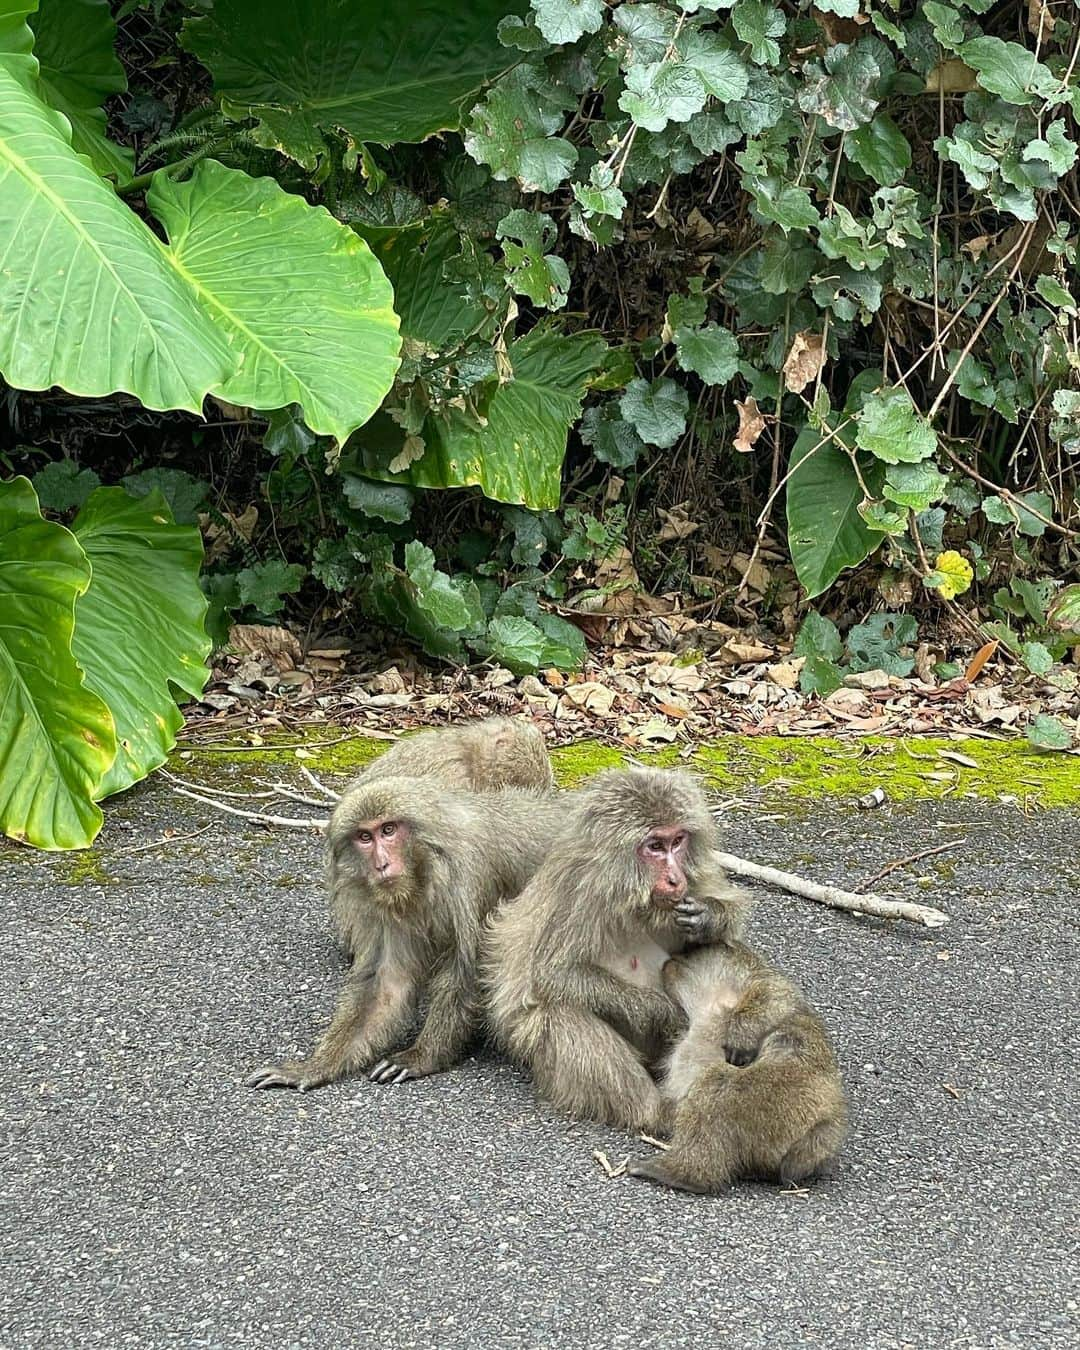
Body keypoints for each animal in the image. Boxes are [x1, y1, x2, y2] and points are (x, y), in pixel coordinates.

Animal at [244, 777, 564, 1090]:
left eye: (388, 830)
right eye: (365, 837)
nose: (382, 864)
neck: (425, 866)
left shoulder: (471, 878)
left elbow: (468, 971)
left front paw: (423, 1057)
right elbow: (388, 981)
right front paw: (313, 1067)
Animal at [483, 766, 750, 1134]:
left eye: (677, 841)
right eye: (655, 846)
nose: (675, 878)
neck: (632, 896)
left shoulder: (693, 882)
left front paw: (711, 917)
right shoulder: (580, 892)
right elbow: (554, 975)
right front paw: (664, 1011)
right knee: (563, 1011)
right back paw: (655, 1112)